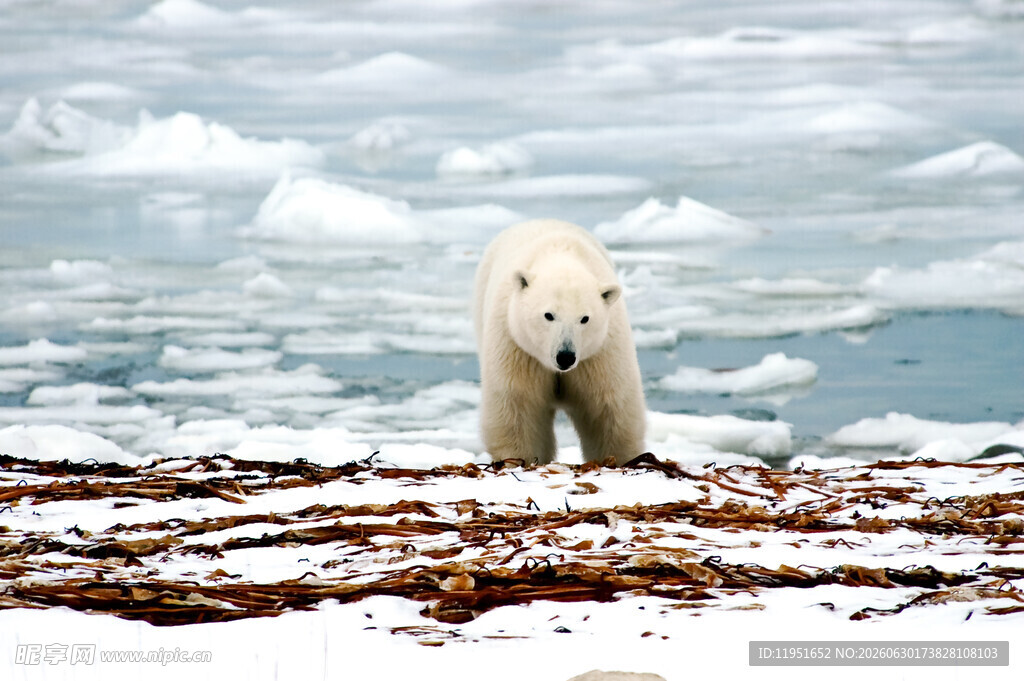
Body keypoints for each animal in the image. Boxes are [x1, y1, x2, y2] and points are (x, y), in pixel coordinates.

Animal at [474, 219, 646, 465]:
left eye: (584, 318)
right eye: (549, 315)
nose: (565, 356)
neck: (561, 256)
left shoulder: (600, 353)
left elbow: (609, 408)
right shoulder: (517, 348)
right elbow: (517, 406)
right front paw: (521, 459)